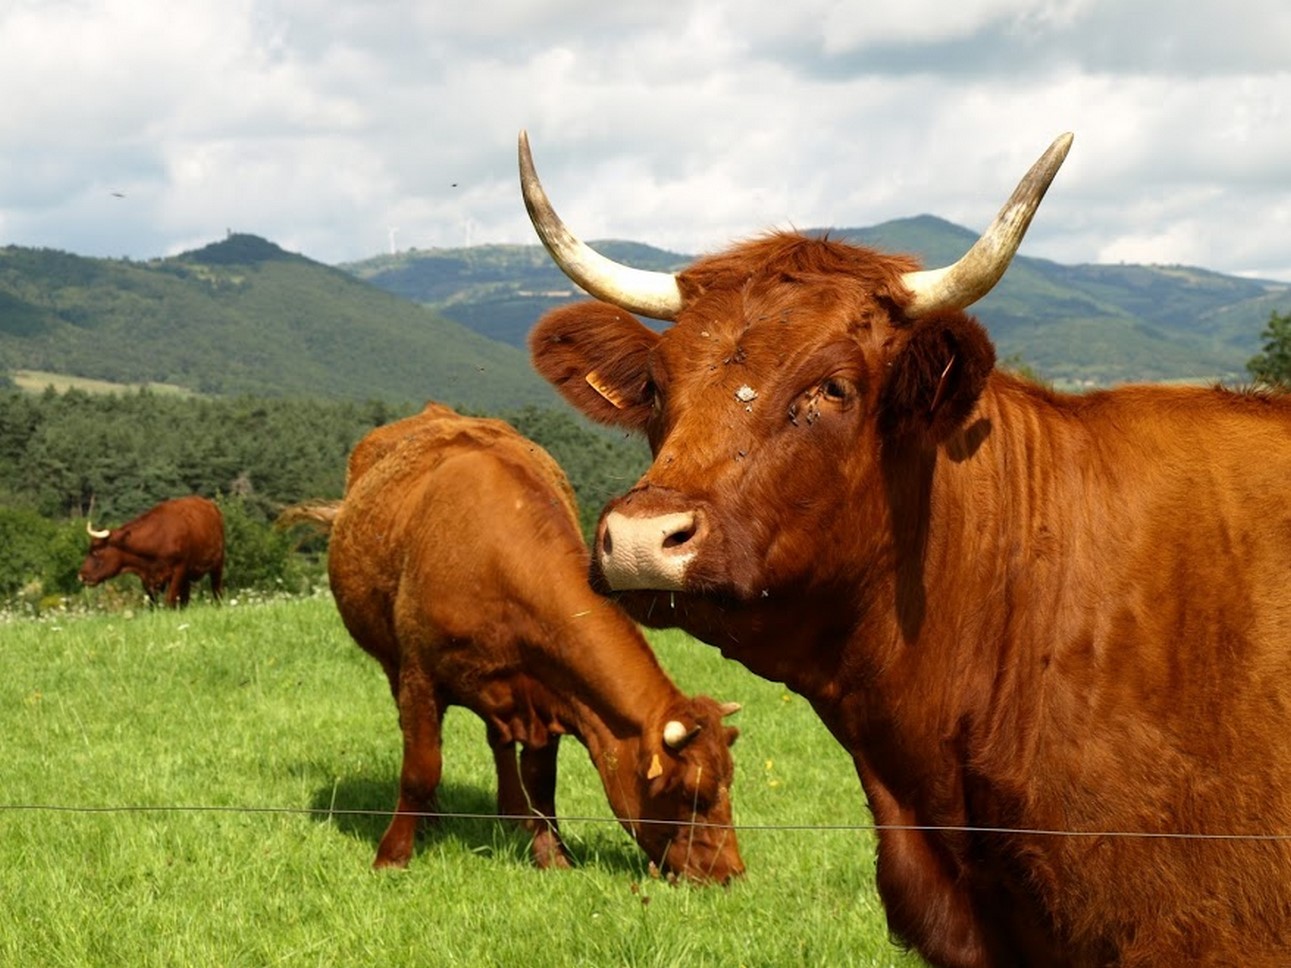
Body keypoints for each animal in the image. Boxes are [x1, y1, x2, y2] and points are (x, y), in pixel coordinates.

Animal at [79, 495, 224, 609]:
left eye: (96, 552)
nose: (81, 576)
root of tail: (210, 504)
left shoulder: (179, 570)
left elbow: (169, 599)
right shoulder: (147, 578)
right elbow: (153, 603)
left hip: (217, 564)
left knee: (216, 589)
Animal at [307, 402, 743, 887]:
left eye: (728, 781)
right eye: (690, 792)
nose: (732, 874)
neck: (495, 560)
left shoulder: (549, 691)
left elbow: (541, 781)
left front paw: (552, 856)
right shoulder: (420, 674)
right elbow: (421, 769)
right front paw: (392, 856)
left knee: (499, 742)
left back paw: (512, 815)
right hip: (391, 661)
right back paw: (433, 819)